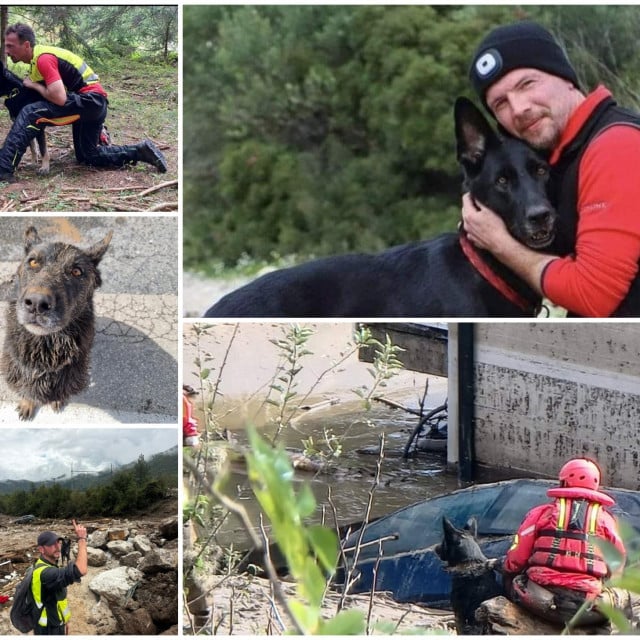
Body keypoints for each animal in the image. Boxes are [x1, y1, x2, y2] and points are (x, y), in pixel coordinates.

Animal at [0, 225, 112, 420]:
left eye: (76, 271)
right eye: (33, 262)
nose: (36, 303)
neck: (44, 352)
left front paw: (57, 401)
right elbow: (28, 392)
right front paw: (27, 403)